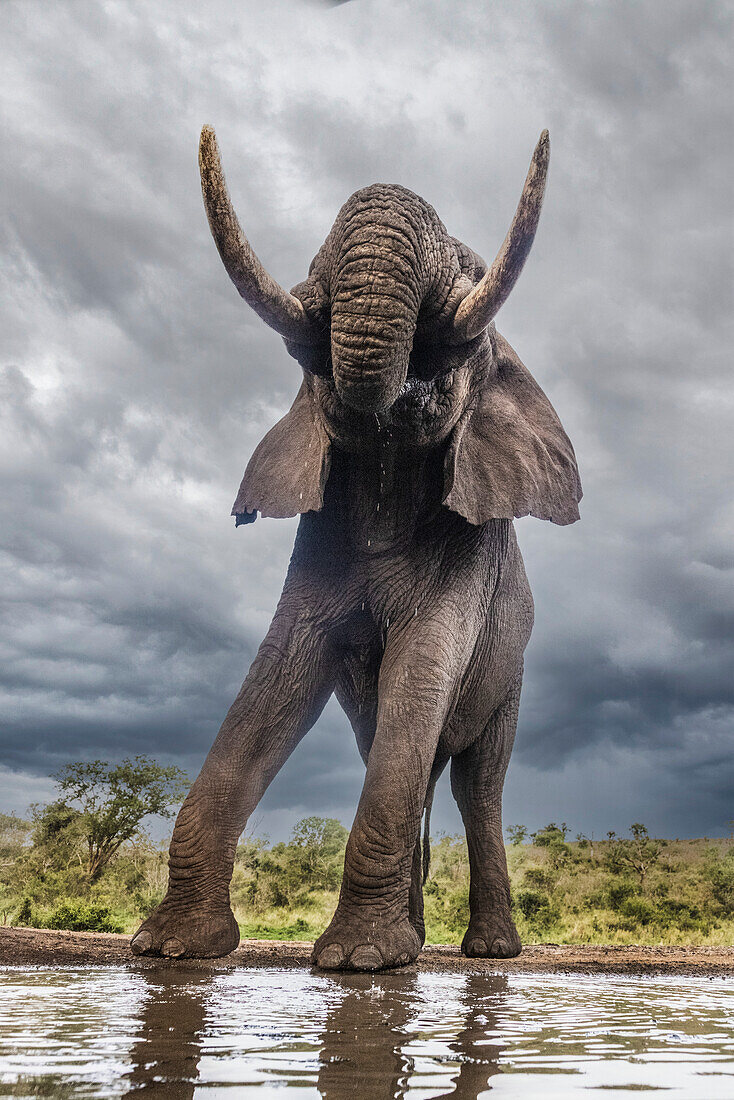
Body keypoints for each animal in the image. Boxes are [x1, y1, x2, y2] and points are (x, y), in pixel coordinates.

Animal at [130, 124, 581, 972]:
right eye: (298, 356)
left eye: (467, 343)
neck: (385, 462)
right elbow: (279, 674)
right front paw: (173, 948)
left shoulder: (471, 557)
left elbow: (422, 667)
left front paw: (356, 961)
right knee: (399, 755)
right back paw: (413, 941)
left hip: (512, 676)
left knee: (477, 783)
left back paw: (486, 953)